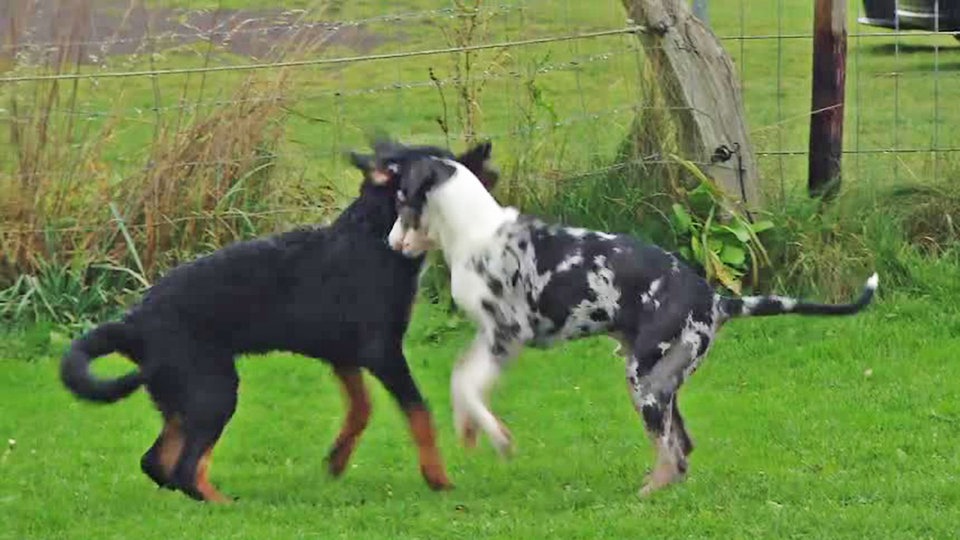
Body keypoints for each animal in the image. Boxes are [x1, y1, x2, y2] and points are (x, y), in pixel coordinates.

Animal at [59, 139, 498, 502]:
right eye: (438, 166)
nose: (486, 159)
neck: (373, 237)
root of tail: (134, 322)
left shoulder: (343, 355)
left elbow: (361, 408)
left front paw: (336, 460)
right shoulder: (382, 352)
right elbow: (419, 412)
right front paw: (437, 478)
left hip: (182, 394)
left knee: (158, 463)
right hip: (213, 388)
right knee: (183, 468)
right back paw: (227, 504)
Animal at [382, 151, 876, 498]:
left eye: (402, 201)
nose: (389, 242)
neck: (476, 233)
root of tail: (716, 300)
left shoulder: (507, 335)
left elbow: (466, 383)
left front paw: (498, 438)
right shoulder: (490, 337)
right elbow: (461, 378)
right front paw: (469, 428)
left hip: (645, 382)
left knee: (671, 454)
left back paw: (647, 492)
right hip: (664, 381)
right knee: (682, 449)